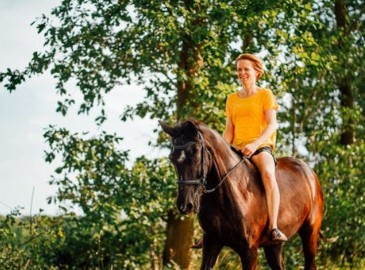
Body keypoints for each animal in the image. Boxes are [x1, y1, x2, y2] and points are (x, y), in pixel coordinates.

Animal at [161, 119, 322, 268]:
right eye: (172, 158)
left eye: (194, 154)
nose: (184, 205)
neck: (225, 196)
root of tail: (310, 172)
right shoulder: (211, 244)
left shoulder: (249, 251)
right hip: (273, 246)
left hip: (310, 234)